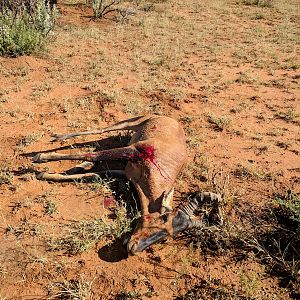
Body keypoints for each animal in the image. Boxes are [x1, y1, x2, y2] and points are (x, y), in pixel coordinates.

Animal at [32, 115, 221, 253]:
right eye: (165, 217)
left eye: (168, 236)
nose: (134, 248)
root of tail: (171, 119)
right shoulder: (134, 151)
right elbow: (91, 155)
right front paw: (39, 158)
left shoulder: (125, 174)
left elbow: (97, 174)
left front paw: (45, 174)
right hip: (132, 122)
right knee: (102, 130)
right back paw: (57, 138)